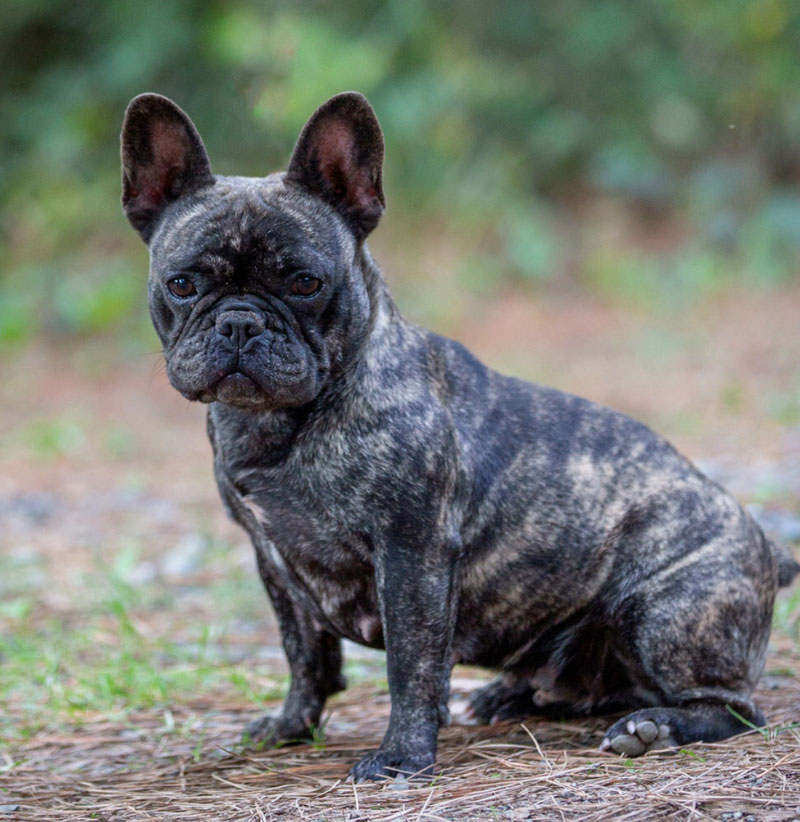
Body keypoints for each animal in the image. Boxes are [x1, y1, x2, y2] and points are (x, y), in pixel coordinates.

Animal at [122, 91, 796, 784]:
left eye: (306, 283)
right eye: (182, 284)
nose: (239, 323)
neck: (283, 420)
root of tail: (770, 552)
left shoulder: (411, 553)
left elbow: (410, 664)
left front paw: (402, 757)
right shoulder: (276, 565)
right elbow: (305, 656)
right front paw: (290, 727)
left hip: (665, 614)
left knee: (732, 707)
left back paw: (653, 728)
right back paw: (511, 695)